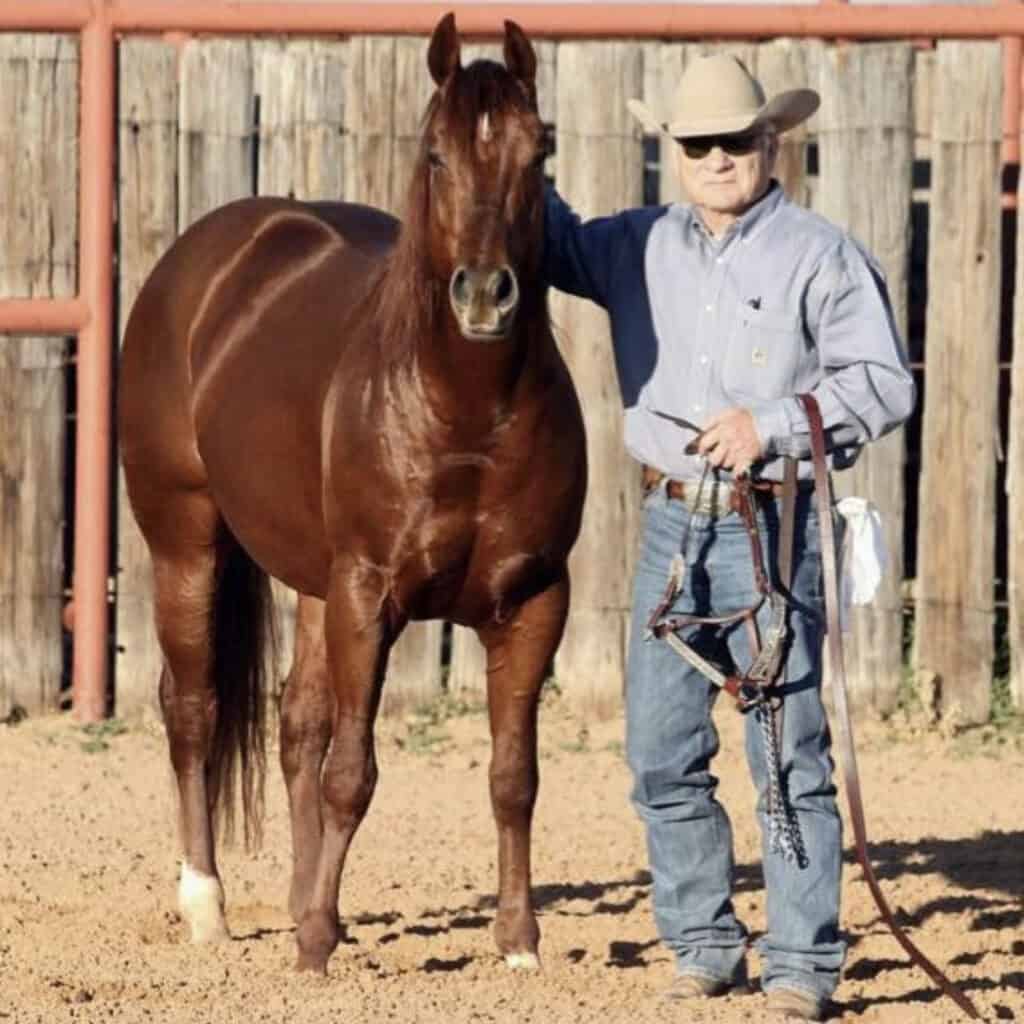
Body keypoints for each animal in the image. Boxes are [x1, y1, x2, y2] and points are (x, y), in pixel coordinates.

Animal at [118, 13, 586, 974]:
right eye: (436, 153)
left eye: (539, 152)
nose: (486, 296)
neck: (464, 410)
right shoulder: (369, 596)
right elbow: (352, 774)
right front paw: (316, 946)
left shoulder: (533, 601)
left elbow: (513, 776)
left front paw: (519, 943)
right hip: (186, 541)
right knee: (193, 709)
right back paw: (207, 905)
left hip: (309, 582)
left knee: (295, 726)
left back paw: (300, 898)